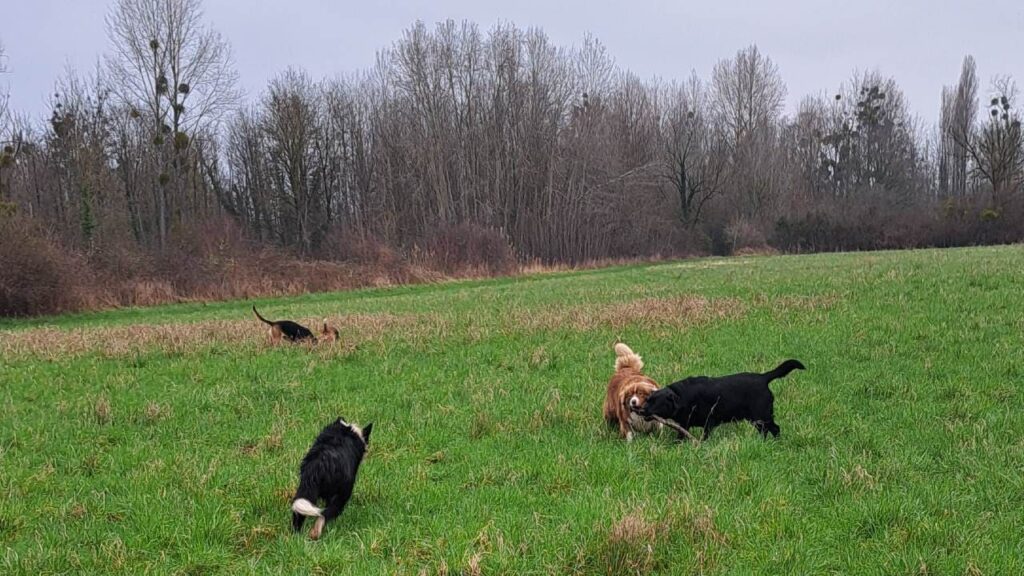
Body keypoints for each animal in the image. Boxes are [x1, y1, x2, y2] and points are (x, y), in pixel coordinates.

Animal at [630, 358, 806, 438]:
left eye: (656, 402)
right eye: (648, 399)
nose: (641, 410)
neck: (682, 396)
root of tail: (764, 378)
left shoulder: (709, 422)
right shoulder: (684, 425)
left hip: (761, 415)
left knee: (775, 428)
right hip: (757, 419)